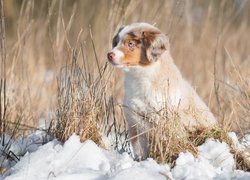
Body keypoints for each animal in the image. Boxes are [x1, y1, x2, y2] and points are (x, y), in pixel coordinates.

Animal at [107, 22, 217, 160]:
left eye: (130, 43)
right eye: (116, 42)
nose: (109, 54)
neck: (140, 77)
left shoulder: (163, 122)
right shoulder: (135, 123)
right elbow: (140, 150)